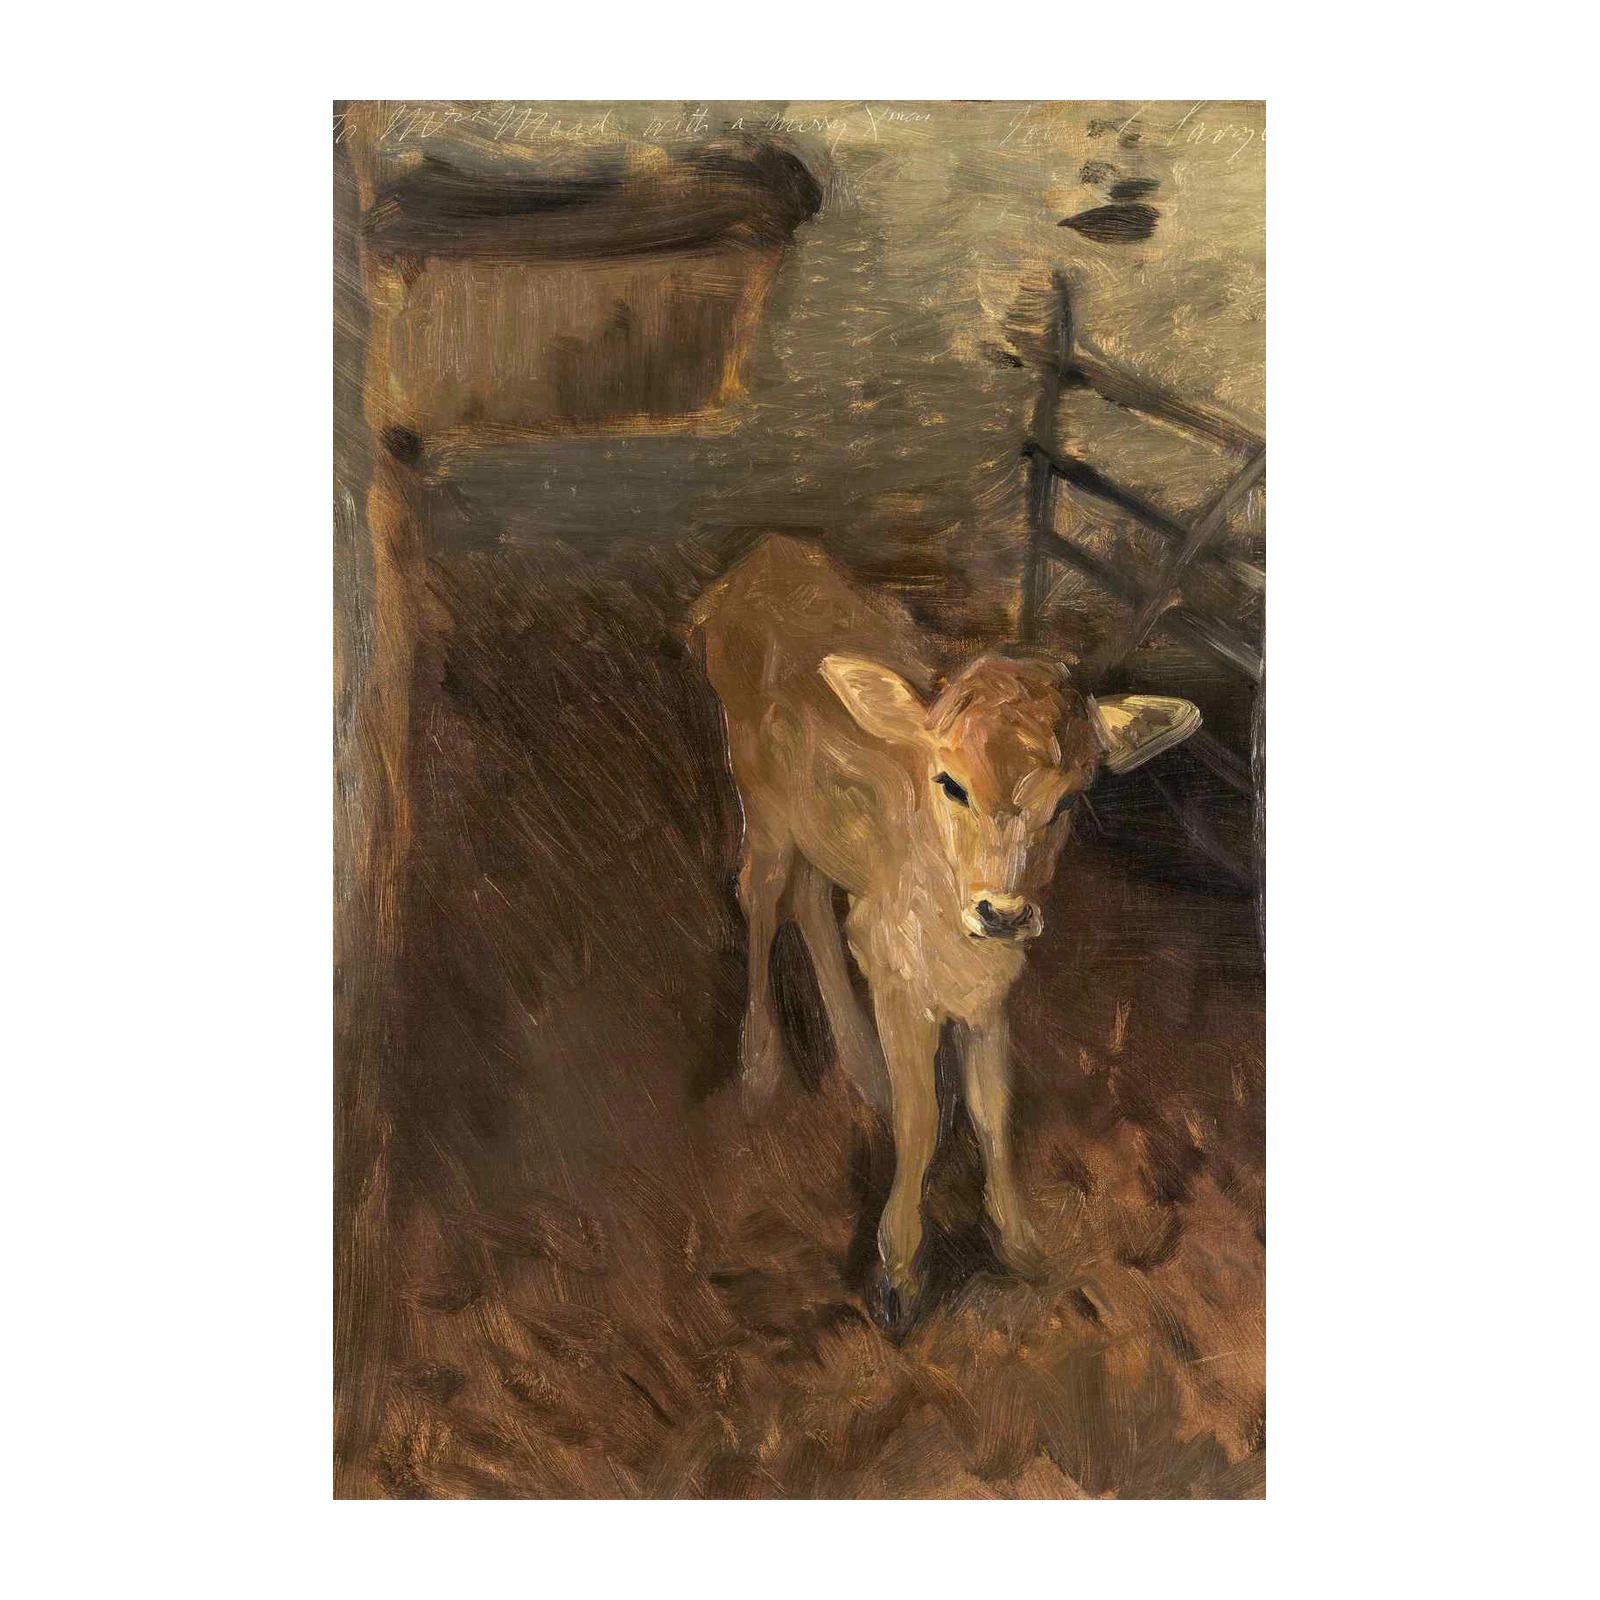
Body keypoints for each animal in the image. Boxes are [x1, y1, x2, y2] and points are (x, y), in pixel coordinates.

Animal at [692, 535, 1200, 1333]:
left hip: (816, 832)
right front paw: (898, 1275)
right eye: (951, 782)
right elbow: (923, 1119)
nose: (1004, 911)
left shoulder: (987, 990)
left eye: (1069, 800)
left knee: (810, 899)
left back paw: (861, 1065)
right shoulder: (903, 978)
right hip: (759, 797)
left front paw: (1021, 1244)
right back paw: (761, 1064)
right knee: (760, 895)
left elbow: (993, 1111)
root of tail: (756, 560)